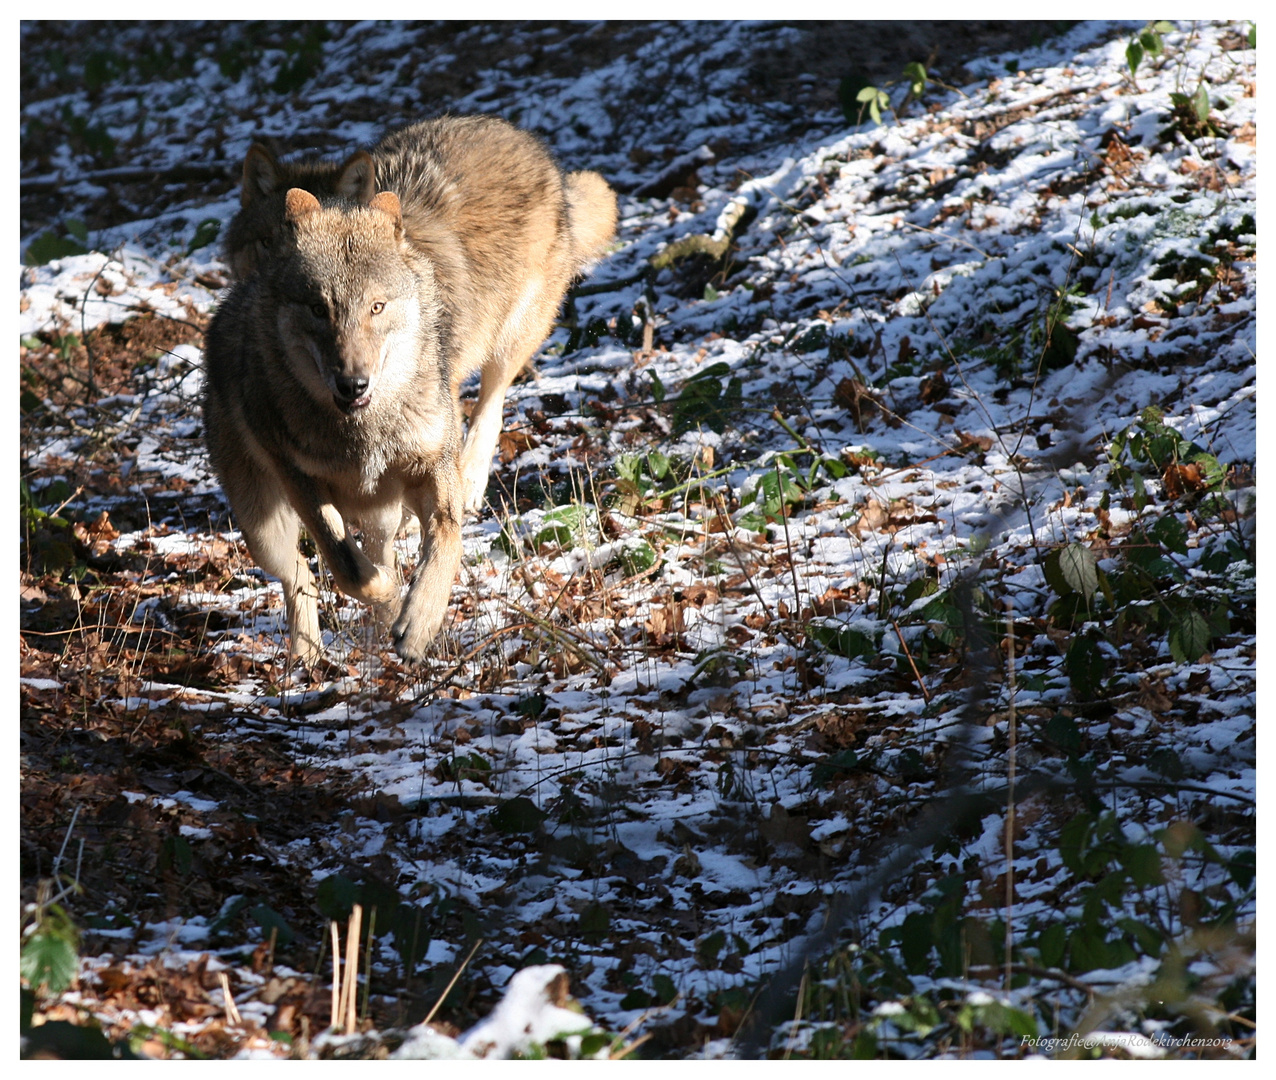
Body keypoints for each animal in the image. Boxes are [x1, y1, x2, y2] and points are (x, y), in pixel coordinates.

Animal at [202, 114, 612, 663]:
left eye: (376, 307)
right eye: (318, 308)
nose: (352, 382)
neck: (364, 428)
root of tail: (511, 130)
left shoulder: (426, 468)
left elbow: (446, 538)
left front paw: (418, 623)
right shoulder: (300, 480)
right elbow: (344, 561)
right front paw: (384, 595)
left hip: (509, 340)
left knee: (490, 406)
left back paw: (469, 483)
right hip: (264, 524)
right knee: (300, 571)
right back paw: (309, 652)